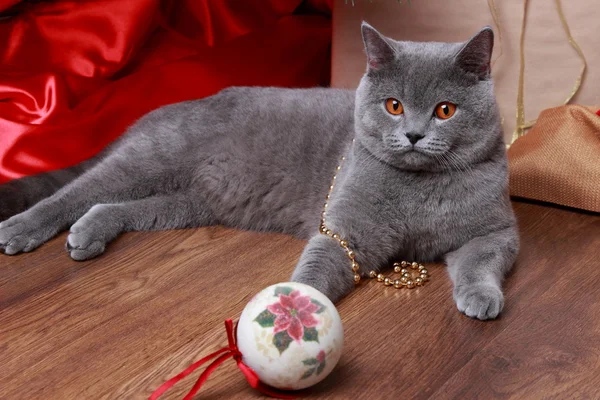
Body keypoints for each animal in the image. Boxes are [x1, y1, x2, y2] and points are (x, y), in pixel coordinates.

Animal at [0, 23, 516, 320]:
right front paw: (297, 303)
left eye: (445, 111)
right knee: (75, 191)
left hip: (190, 201)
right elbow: (320, 265)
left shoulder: (497, 230)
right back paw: (20, 230)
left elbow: (482, 259)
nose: (411, 135)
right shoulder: (346, 230)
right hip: (152, 158)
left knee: (114, 204)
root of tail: (159, 111)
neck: (420, 191)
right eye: (393, 105)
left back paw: (88, 233)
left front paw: (480, 298)